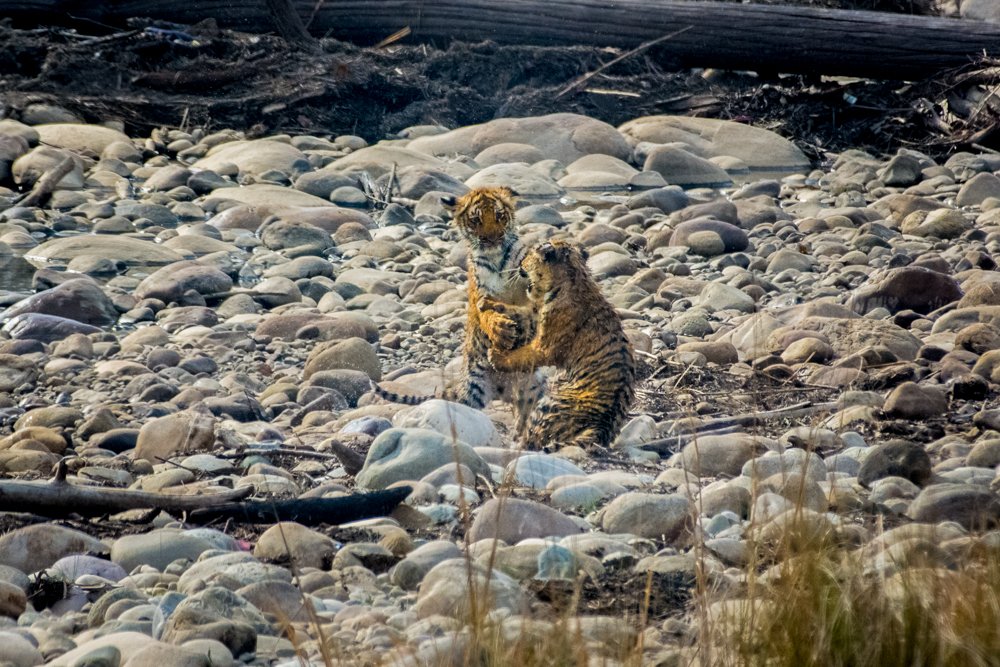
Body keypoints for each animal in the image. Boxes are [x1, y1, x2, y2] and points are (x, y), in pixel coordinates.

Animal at [372, 186, 542, 432]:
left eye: (499, 216)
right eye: (475, 219)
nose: (492, 239)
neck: (496, 259)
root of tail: (504, 390)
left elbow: (528, 307)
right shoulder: (481, 295)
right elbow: (487, 314)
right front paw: (500, 329)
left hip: (535, 386)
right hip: (474, 392)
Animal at [478, 240, 635, 452]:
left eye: (528, 255)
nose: (519, 264)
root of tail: (601, 427)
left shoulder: (544, 347)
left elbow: (521, 354)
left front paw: (495, 356)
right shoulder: (534, 315)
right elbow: (517, 310)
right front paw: (487, 302)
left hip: (547, 404)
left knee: (531, 441)